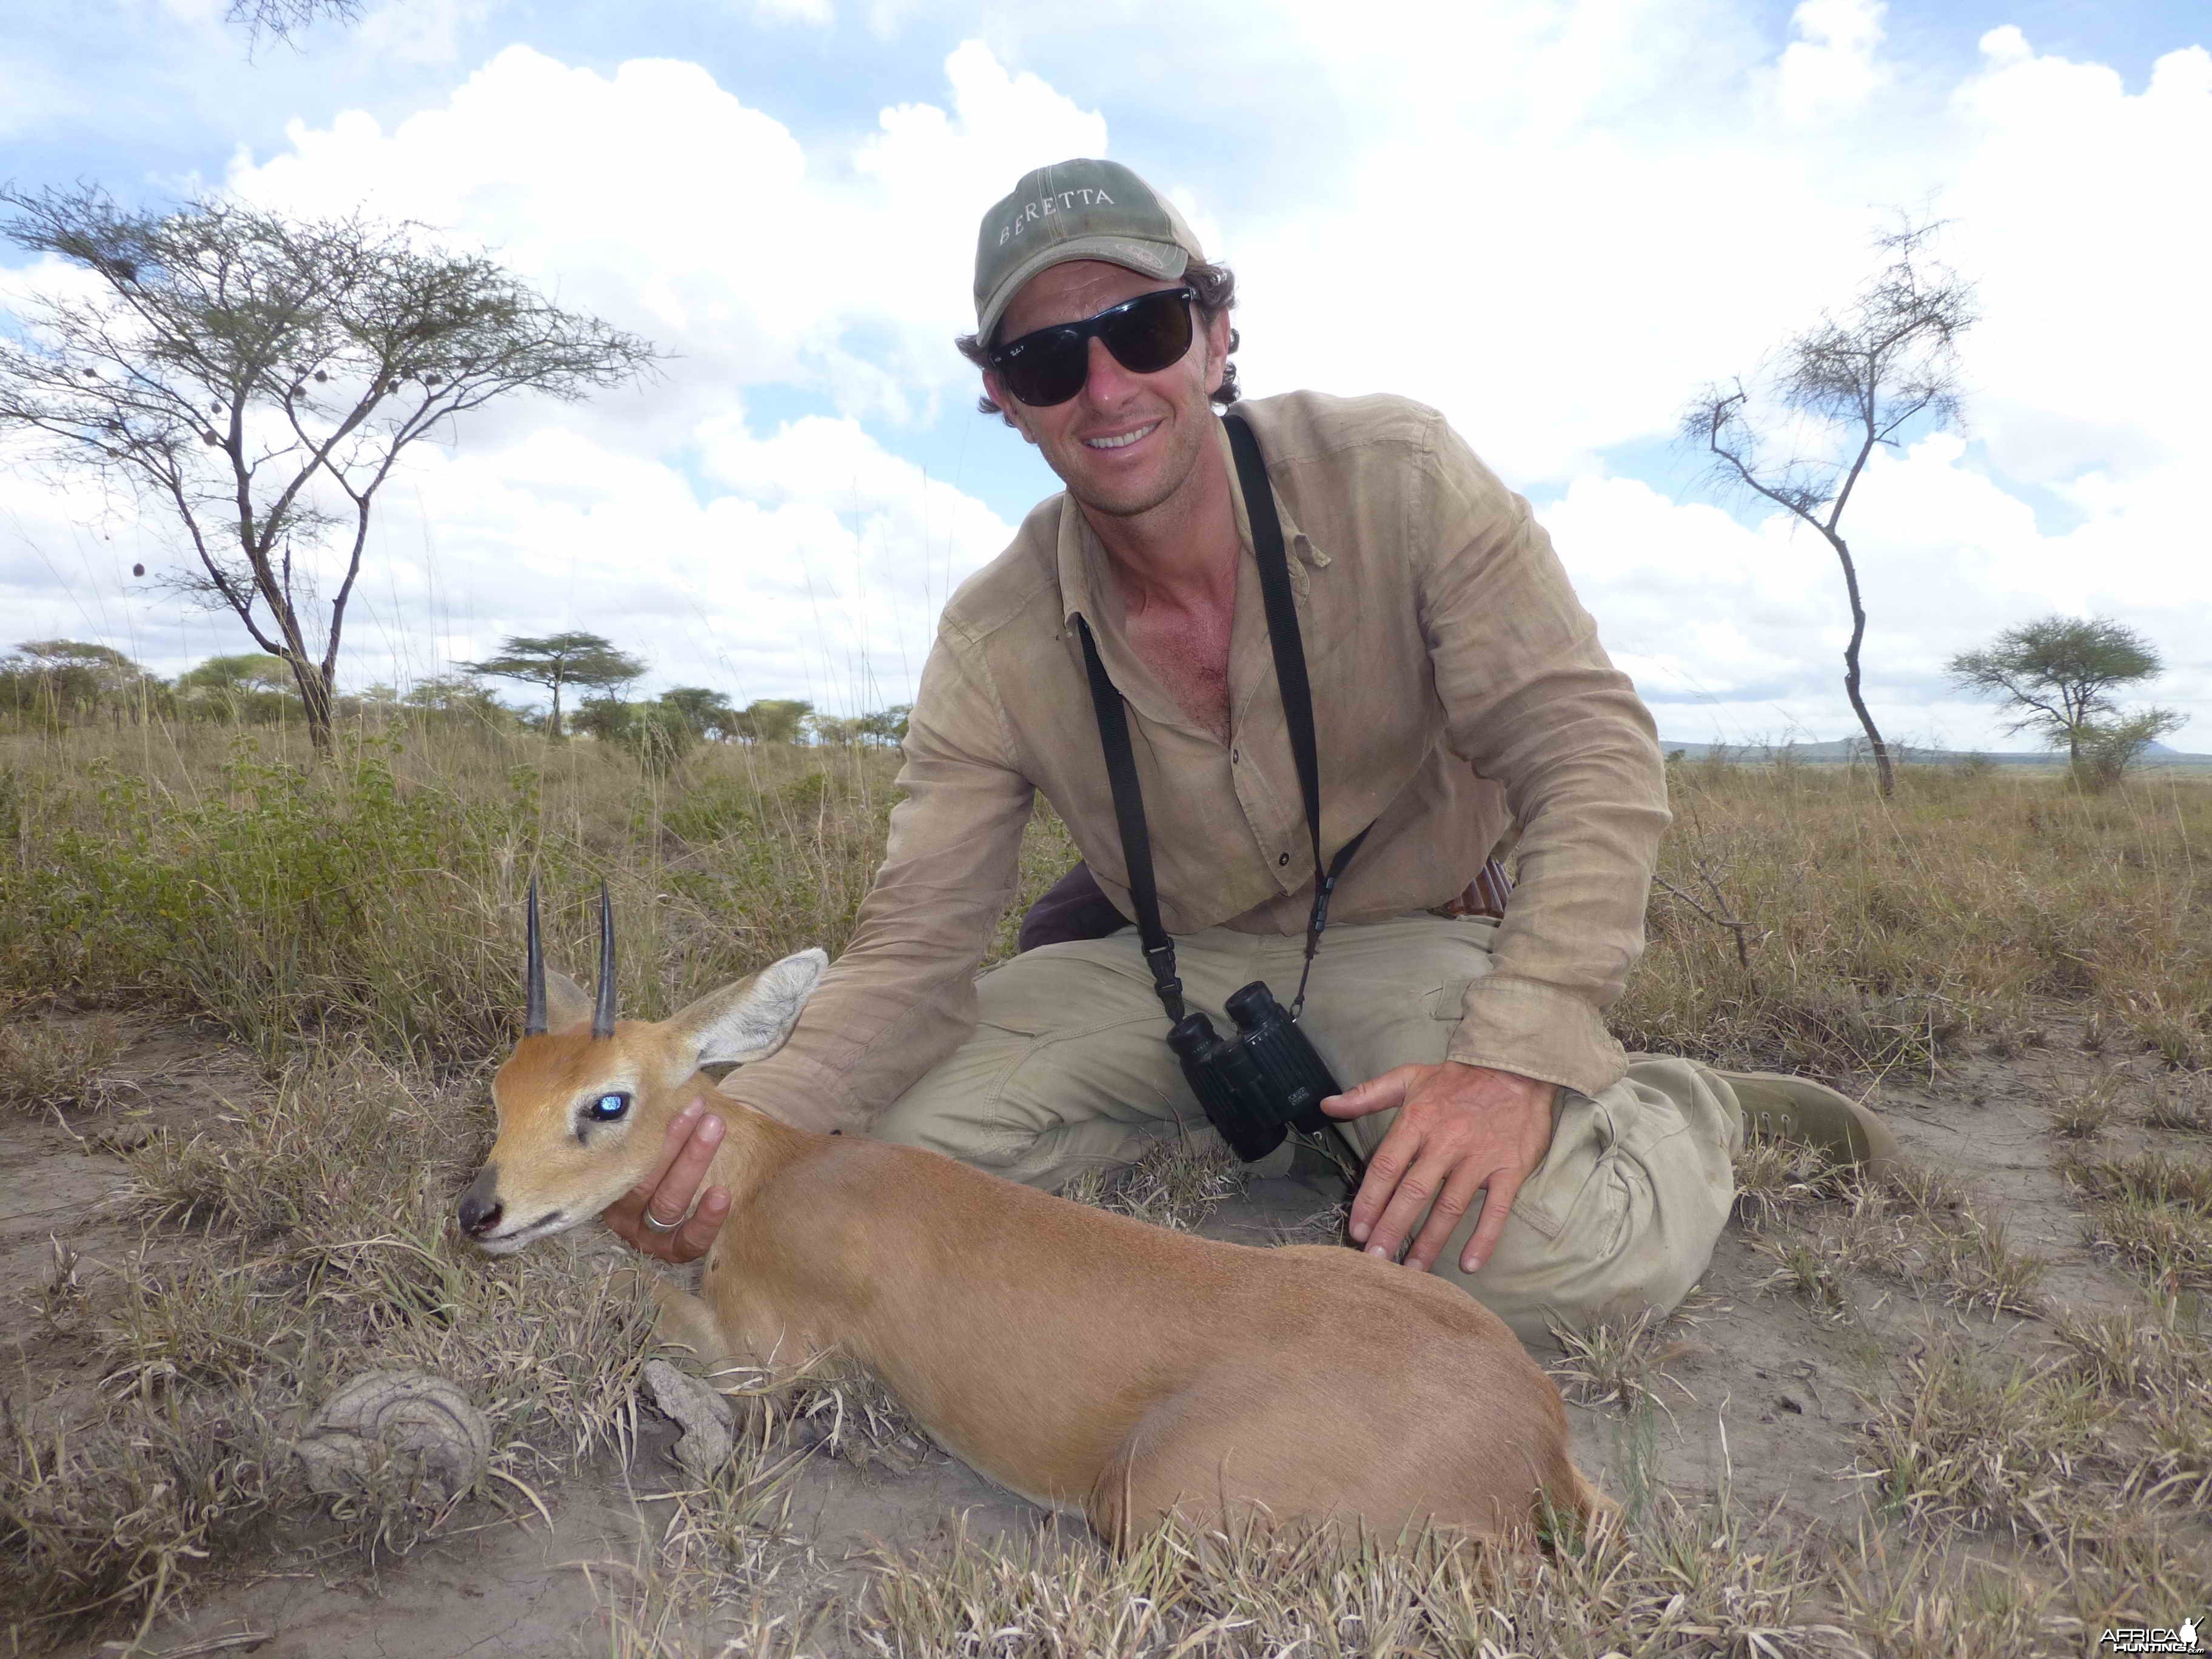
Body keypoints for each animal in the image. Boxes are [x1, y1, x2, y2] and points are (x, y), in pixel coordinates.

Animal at [462, 889, 1610, 1557]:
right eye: (501, 1086)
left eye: (607, 1101)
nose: (479, 1210)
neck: (779, 1174)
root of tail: (1535, 1437)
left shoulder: (768, 1356)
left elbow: (631, 1297)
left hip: (1146, 1496)